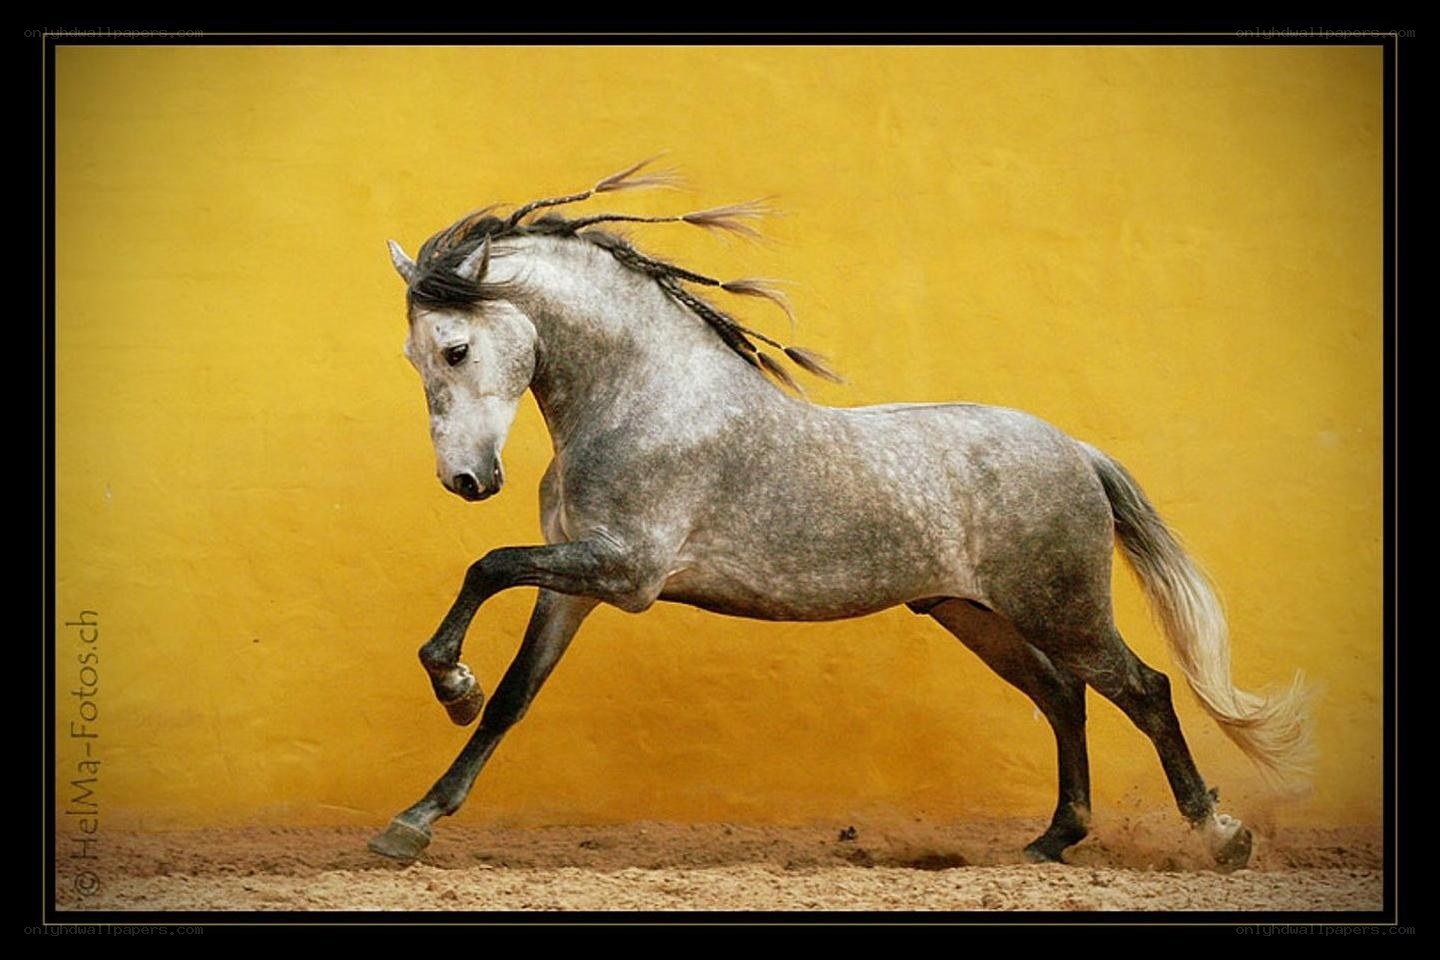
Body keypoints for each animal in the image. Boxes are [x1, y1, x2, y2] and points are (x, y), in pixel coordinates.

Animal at [369, 159, 1313, 870]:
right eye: (412, 357)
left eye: (456, 348)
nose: (467, 480)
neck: (645, 400)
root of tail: (1076, 451)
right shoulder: (574, 581)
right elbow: (513, 699)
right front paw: (411, 819)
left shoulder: (625, 569)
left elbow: (486, 565)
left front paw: (451, 686)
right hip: (976, 614)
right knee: (1062, 695)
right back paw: (1055, 839)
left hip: (1063, 608)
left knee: (1143, 691)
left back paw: (1222, 837)